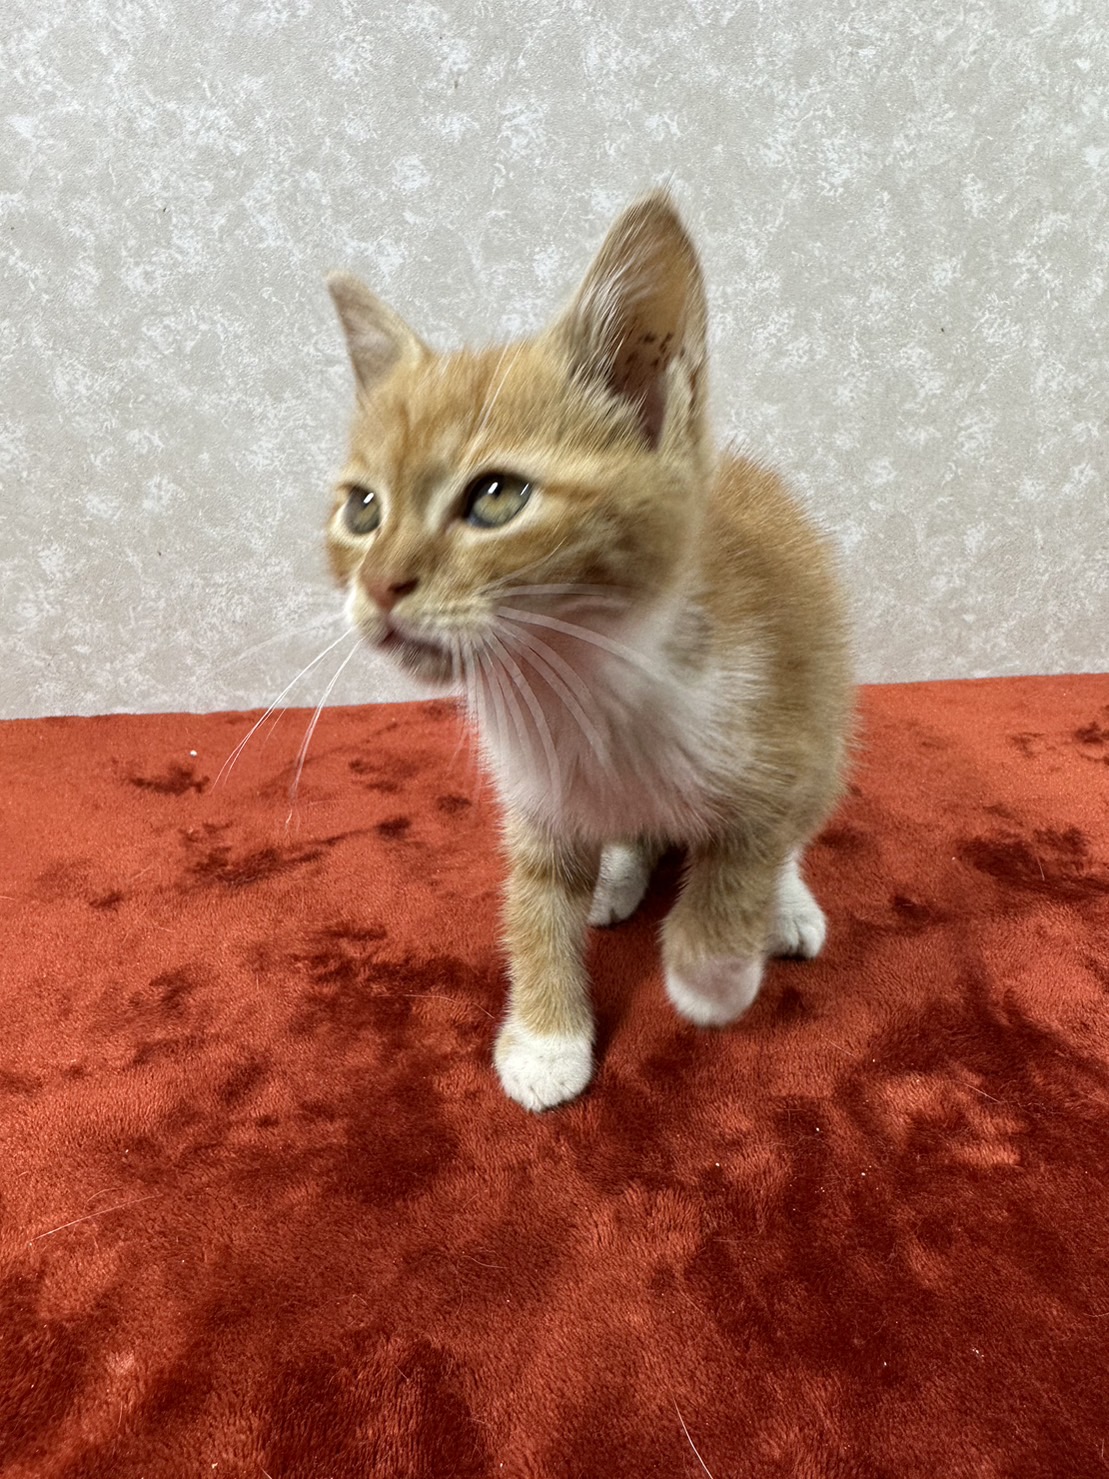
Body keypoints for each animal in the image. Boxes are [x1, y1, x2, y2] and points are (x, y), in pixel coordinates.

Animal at [325, 192, 853, 1111]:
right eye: (362, 510)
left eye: (496, 496)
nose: (381, 584)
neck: (578, 684)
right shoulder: (533, 794)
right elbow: (534, 903)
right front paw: (545, 1036)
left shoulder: (781, 732)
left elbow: (744, 852)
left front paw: (711, 972)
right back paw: (615, 875)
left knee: (791, 830)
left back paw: (782, 905)